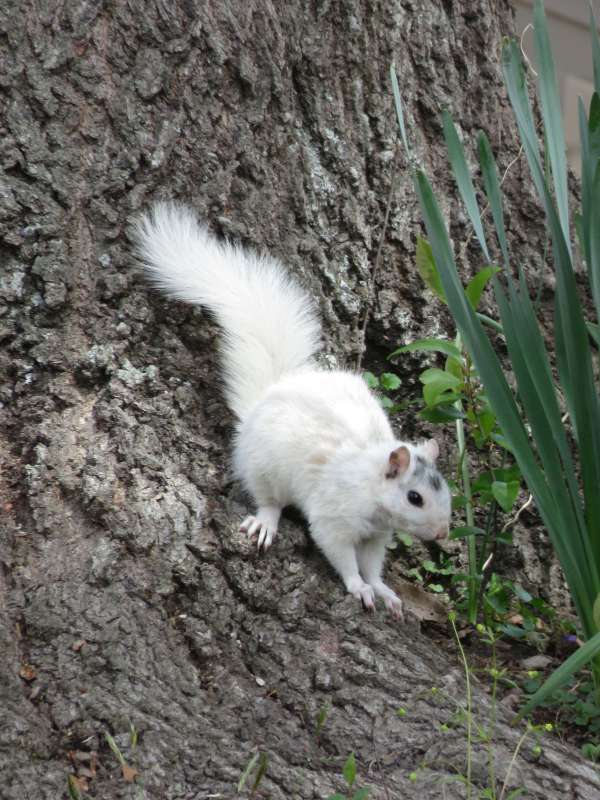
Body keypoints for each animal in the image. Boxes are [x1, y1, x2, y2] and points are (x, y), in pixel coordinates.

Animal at [134, 202, 451, 618]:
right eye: (415, 497)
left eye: (446, 491)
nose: (443, 532)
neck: (369, 484)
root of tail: (268, 395)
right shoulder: (334, 516)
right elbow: (341, 554)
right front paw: (358, 587)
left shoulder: (377, 535)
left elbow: (372, 564)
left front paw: (383, 590)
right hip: (265, 469)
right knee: (269, 499)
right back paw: (266, 522)